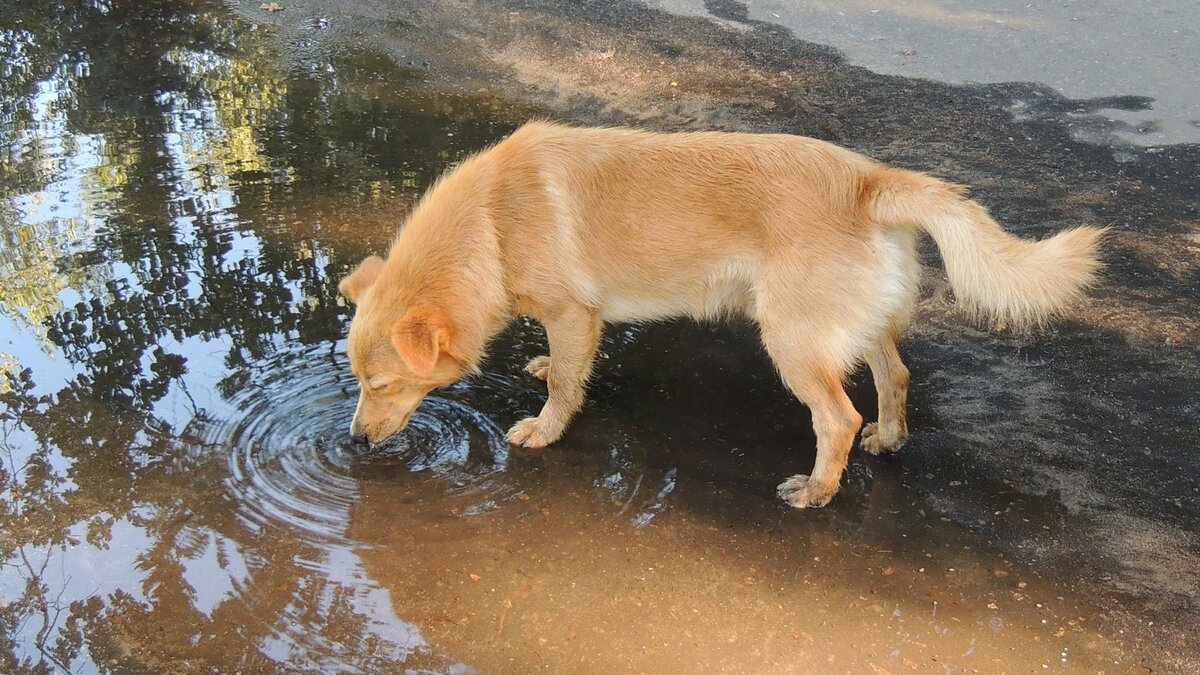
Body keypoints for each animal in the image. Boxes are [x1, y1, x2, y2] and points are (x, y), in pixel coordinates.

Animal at [338, 123, 1104, 506]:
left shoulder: (572, 311)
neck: (490, 223)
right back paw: (889, 440)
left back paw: (817, 492)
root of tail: (868, 180)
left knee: (838, 418)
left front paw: (545, 429)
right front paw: (549, 367)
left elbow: (562, 389)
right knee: (895, 379)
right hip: (859, 329)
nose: (352, 442)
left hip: (792, 341)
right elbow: (567, 368)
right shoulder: (578, 320)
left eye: (381, 385)